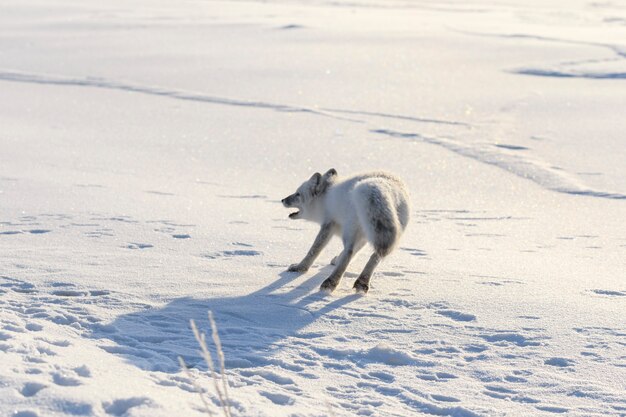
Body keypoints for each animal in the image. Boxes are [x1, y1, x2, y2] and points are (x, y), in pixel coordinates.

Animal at [280, 169, 408, 292]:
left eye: (298, 194)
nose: (282, 200)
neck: (325, 199)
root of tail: (391, 188)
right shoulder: (363, 237)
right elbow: (355, 252)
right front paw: (337, 260)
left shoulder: (328, 224)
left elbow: (314, 250)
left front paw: (300, 268)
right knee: (375, 257)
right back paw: (362, 282)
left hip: (350, 230)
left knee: (349, 252)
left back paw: (331, 282)